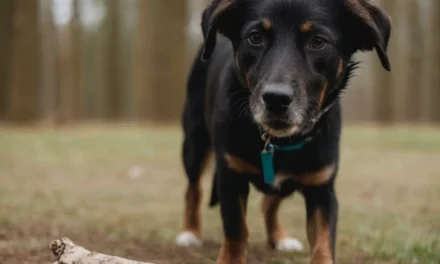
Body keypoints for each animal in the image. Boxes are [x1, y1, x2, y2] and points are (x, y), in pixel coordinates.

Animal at [176, 1, 392, 262]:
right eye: (255, 37)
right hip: (194, 142)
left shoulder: (322, 190)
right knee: (193, 188)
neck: (277, 140)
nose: (276, 99)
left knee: (269, 203)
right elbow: (236, 230)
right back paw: (190, 233)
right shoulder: (231, 177)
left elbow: (323, 241)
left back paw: (279, 237)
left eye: (318, 41)